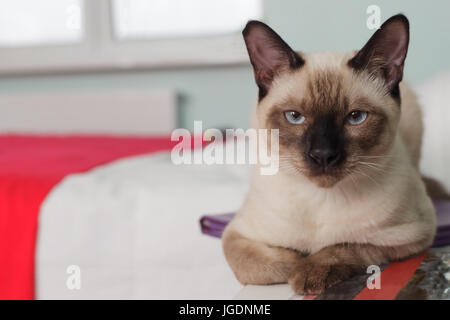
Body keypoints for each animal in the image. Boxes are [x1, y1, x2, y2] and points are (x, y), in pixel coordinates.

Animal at [223, 15, 438, 296]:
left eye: (355, 117)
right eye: (295, 117)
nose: (323, 155)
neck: (321, 199)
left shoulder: (411, 236)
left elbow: (346, 246)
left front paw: (309, 270)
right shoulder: (236, 233)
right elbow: (259, 266)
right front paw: (294, 261)